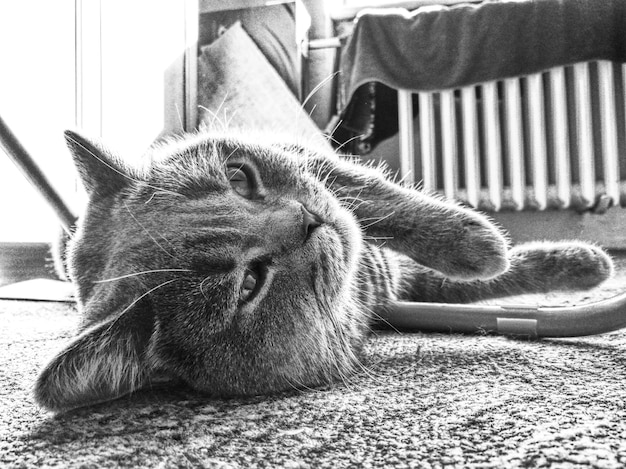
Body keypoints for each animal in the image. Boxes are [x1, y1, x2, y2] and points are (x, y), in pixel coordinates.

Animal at [33, 129, 608, 410]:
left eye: (239, 177)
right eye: (249, 283)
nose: (307, 218)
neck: (365, 287)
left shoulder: (308, 157)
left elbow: (375, 193)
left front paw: (484, 243)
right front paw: (498, 251)